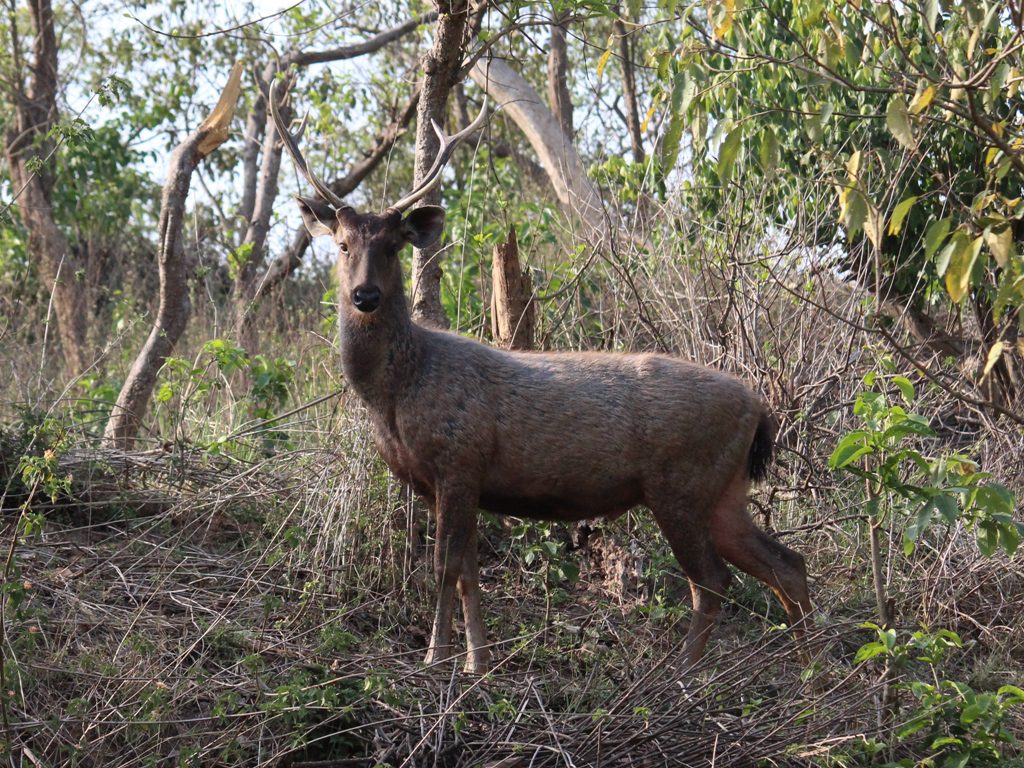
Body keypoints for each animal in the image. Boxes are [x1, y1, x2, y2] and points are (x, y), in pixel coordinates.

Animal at [270, 80, 813, 674]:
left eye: (392, 246)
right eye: (343, 245)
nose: (364, 295)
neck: (397, 393)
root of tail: (758, 407)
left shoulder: (459, 459)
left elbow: (444, 566)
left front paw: (438, 659)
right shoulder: (449, 481)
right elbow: (469, 572)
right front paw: (477, 660)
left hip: (682, 482)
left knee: (712, 581)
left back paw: (683, 674)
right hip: (724, 490)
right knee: (788, 564)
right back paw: (815, 674)